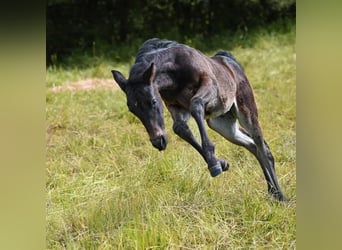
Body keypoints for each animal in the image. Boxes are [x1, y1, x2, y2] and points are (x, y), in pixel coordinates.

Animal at [111, 37, 286, 201]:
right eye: (132, 109)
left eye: (153, 101)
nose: (158, 141)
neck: (174, 70)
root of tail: (232, 63)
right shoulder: (175, 105)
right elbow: (180, 128)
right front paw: (221, 163)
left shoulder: (209, 85)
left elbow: (195, 105)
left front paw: (214, 164)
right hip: (223, 125)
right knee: (252, 145)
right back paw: (272, 192)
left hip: (246, 111)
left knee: (261, 144)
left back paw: (282, 196)